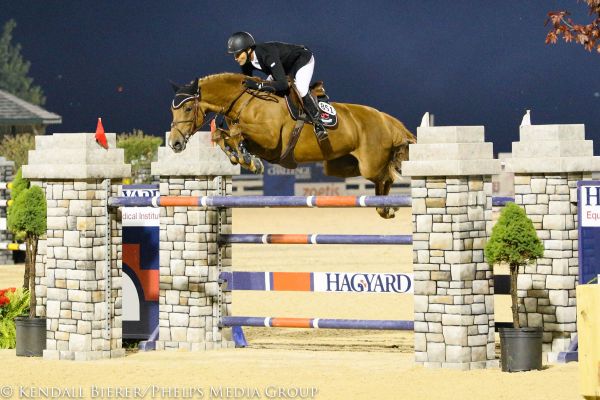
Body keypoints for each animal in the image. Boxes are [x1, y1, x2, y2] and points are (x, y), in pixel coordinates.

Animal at [166, 74, 414, 219]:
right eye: (172, 110)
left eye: (187, 109)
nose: (175, 143)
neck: (246, 100)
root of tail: (386, 119)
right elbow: (221, 135)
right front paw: (240, 157)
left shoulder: (270, 141)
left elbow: (236, 134)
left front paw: (249, 160)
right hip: (342, 166)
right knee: (384, 177)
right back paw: (384, 208)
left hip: (369, 164)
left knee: (387, 176)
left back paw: (388, 207)